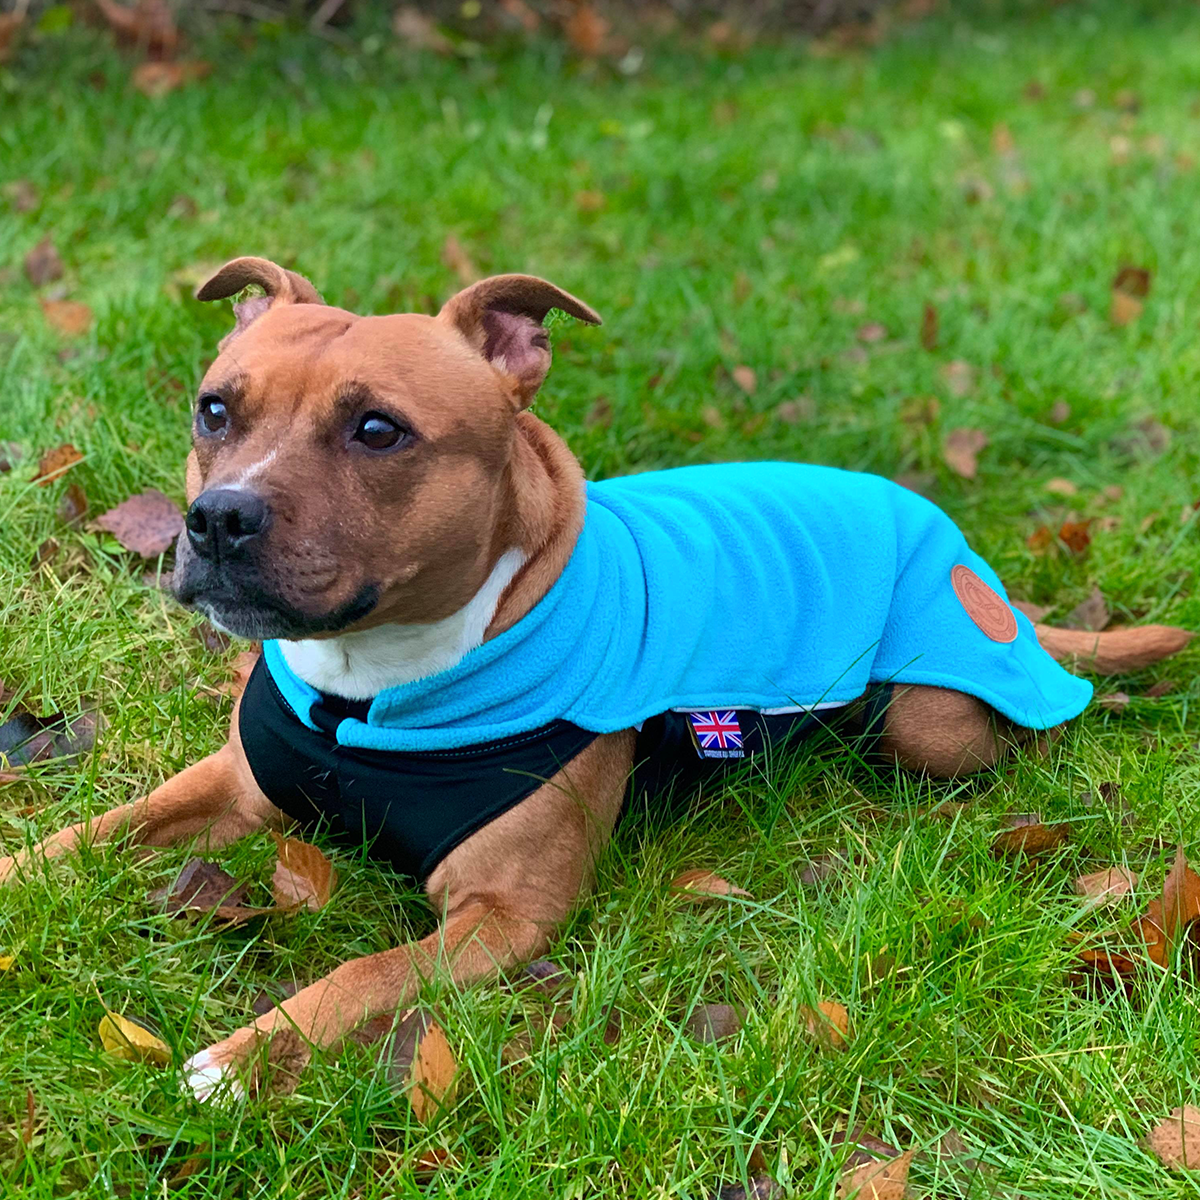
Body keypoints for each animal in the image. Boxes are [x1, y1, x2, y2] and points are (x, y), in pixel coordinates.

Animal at [2, 258, 1190, 1099]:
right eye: (215, 408)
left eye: (378, 429)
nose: (217, 518)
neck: (371, 683)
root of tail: (968, 555)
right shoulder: (233, 788)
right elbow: (82, 838)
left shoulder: (500, 917)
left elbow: (360, 979)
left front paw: (245, 1059)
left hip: (932, 718)